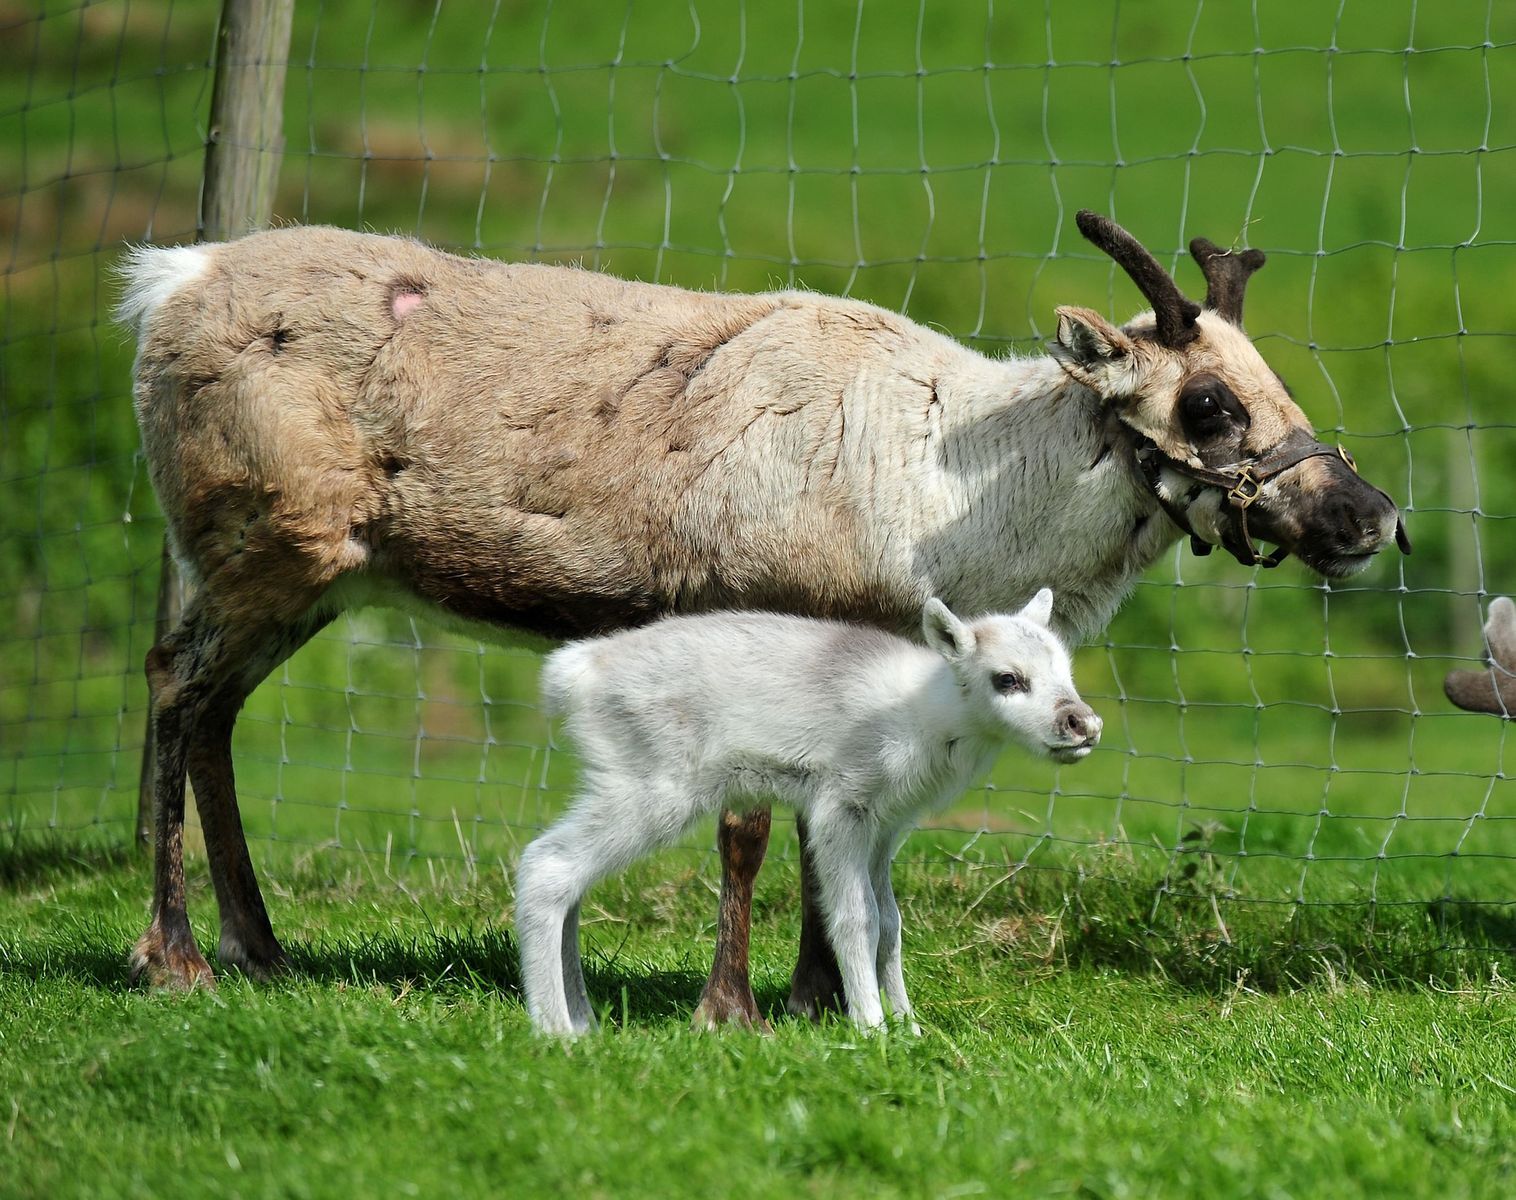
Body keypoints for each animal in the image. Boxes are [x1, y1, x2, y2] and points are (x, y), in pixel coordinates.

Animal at [515, 590, 1097, 1030]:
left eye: (1066, 670)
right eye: (1007, 679)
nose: (1084, 725)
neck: (928, 714)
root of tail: (574, 672)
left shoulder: (888, 827)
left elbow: (892, 922)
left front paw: (909, 1024)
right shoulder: (840, 808)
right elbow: (856, 916)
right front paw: (872, 1027)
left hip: (617, 786)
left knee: (570, 880)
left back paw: (584, 1022)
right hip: (652, 790)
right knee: (547, 866)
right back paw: (555, 1030)